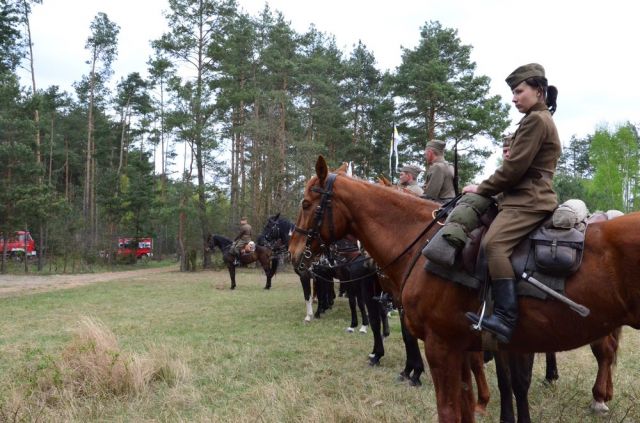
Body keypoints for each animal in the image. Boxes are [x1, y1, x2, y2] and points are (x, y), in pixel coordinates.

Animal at [292, 157, 636, 423]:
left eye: (306, 203)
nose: (295, 255)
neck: (421, 243)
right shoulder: (464, 343)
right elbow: (475, 398)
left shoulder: (442, 344)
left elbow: (458, 403)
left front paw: (410, 371)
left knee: (604, 351)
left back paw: (598, 396)